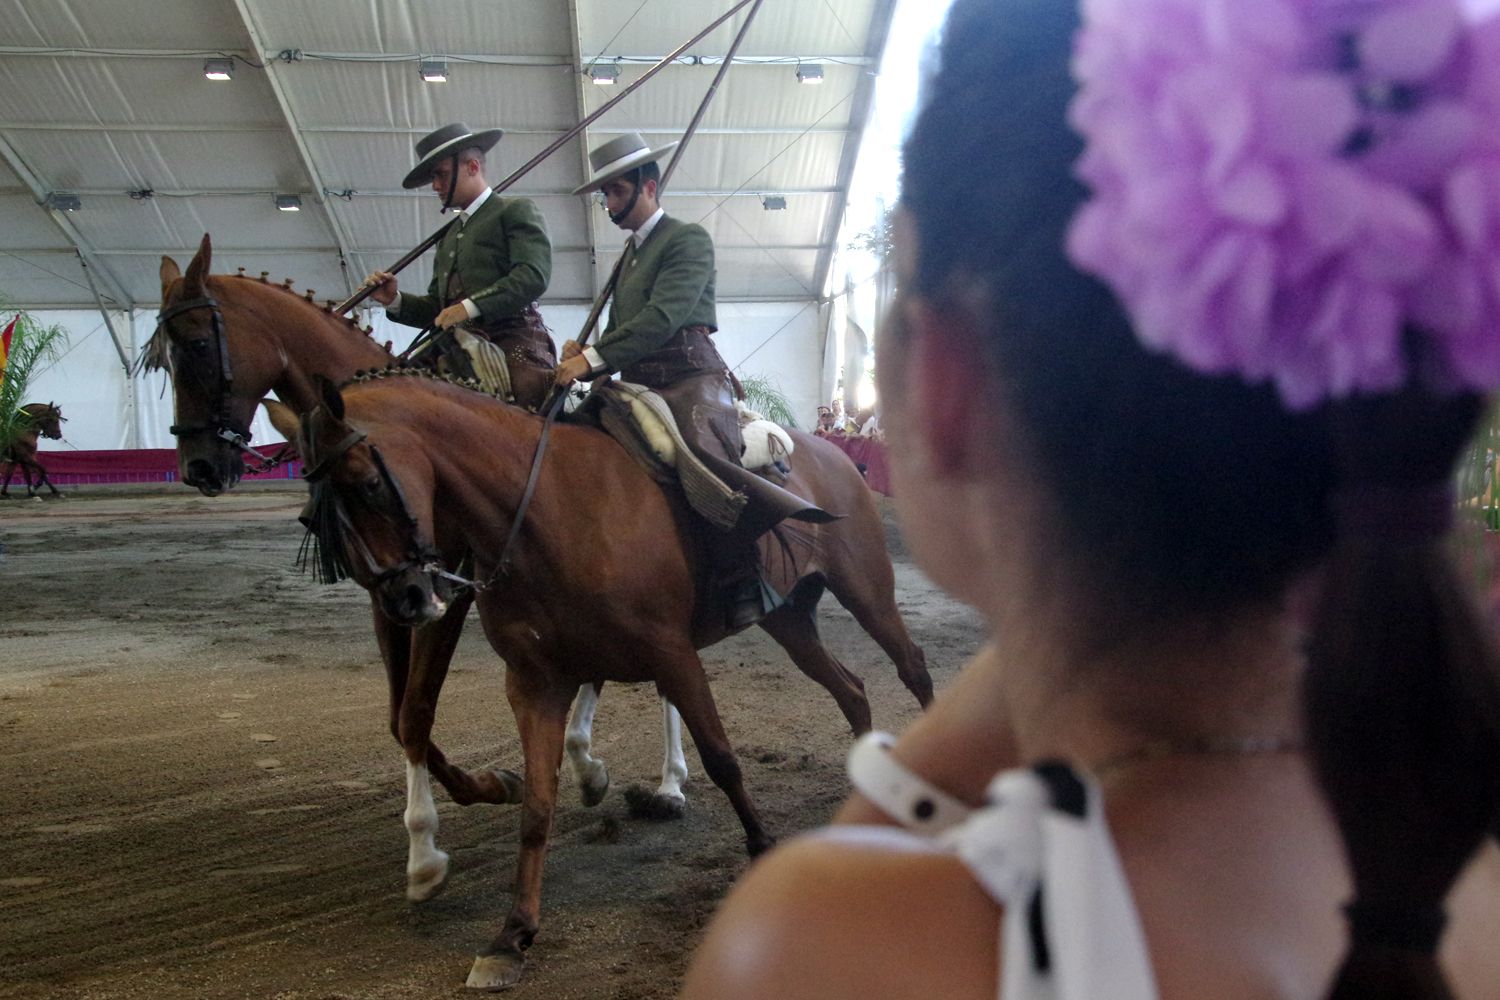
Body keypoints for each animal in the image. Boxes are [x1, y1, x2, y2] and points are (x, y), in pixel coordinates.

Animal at [264, 371, 930, 989]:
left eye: (369, 483)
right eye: (310, 516)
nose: (404, 598)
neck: (546, 508)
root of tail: (833, 453)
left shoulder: (672, 655)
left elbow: (721, 759)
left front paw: (760, 848)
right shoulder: (536, 685)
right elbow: (536, 805)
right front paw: (512, 935)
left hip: (866, 592)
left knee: (912, 668)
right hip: (789, 620)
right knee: (851, 689)